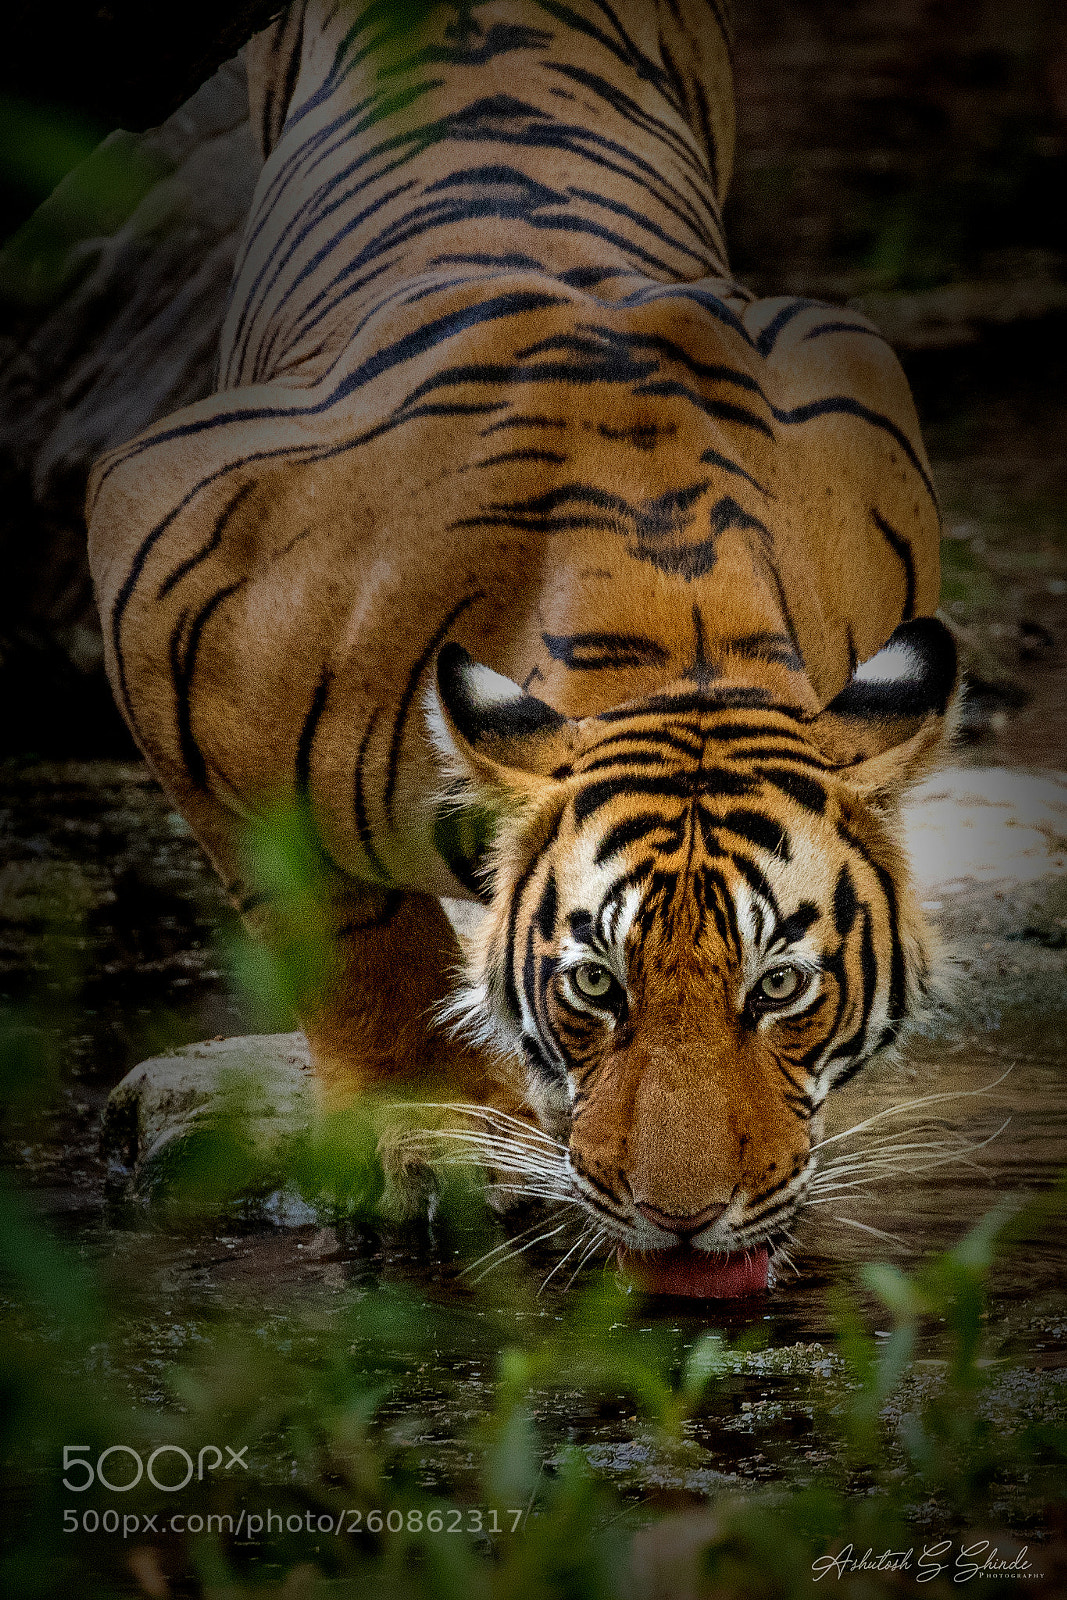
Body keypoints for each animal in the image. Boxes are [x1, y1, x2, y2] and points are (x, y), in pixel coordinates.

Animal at [86, 0, 957, 1297]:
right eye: (594, 982)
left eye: (779, 987)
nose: (682, 1217)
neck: (673, 627)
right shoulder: (156, 555)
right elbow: (342, 930)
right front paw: (430, 1128)